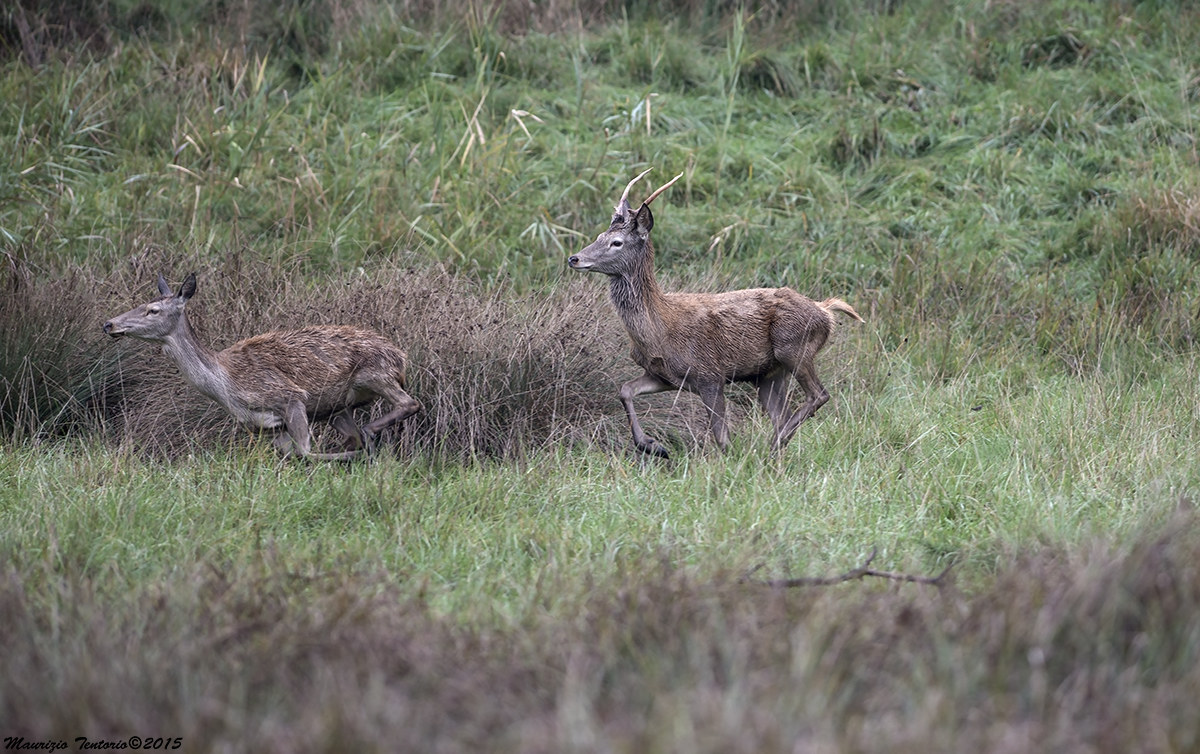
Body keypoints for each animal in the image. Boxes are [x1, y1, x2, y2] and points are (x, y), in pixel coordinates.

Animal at [103, 273, 421, 461]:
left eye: (153, 309)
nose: (110, 324)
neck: (226, 385)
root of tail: (401, 358)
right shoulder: (266, 427)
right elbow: (291, 454)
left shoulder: (290, 397)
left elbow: (305, 452)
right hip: (337, 407)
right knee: (353, 431)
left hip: (375, 374)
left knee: (410, 403)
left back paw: (369, 435)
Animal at [568, 169, 863, 458]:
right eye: (598, 237)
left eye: (616, 242)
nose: (574, 258)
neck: (657, 332)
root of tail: (825, 311)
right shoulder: (664, 375)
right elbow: (625, 390)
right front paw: (653, 445)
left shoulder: (709, 374)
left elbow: (721, 436)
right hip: (768, 374)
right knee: (782, 414)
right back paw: (774, 451)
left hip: (794, 347)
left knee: (818, 395)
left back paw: (770, 446)